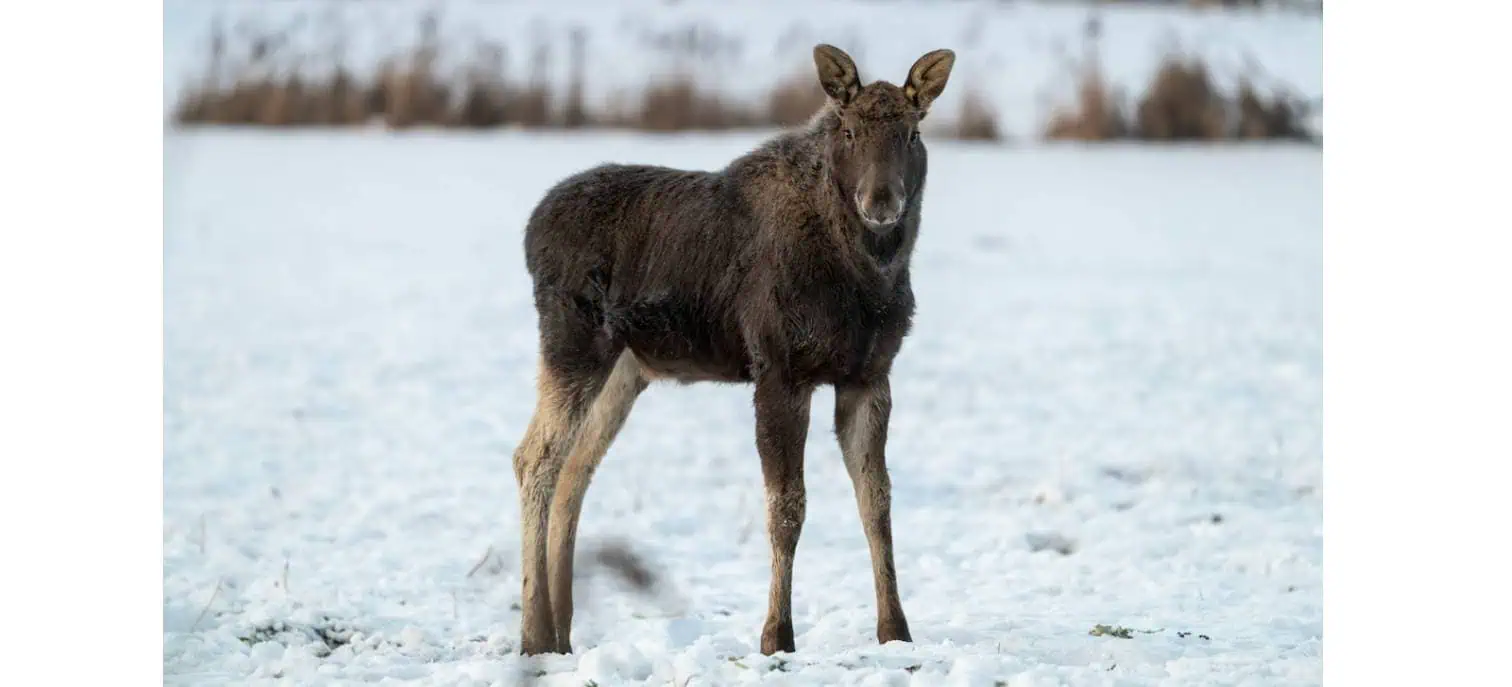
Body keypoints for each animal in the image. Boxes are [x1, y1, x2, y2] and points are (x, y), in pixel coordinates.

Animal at [509, 43, 956, 657]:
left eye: (912, 133)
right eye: (848, 129)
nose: (881, 200)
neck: (867, 280)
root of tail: (529, 231)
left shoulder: (869, 375)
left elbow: (877, 503)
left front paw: (895, 631)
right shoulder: (779, 369)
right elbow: (787, 508)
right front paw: (776, 636)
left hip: (625, 368)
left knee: (576, 469)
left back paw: (561, 632)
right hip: (573, 341)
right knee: (535, 459)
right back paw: (534, 635)